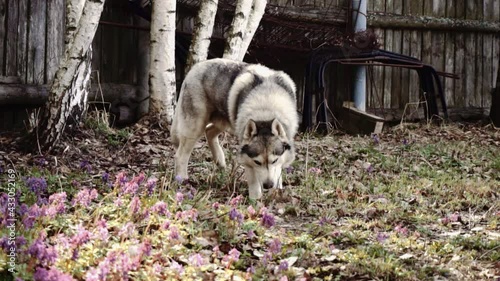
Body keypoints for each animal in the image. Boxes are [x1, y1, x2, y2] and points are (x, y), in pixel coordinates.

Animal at [170, 58, 298, 198]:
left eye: (274, 161)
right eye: (257, 162)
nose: (268, 185)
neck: (265, 108)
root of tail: (196, 66)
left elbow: (278, 173)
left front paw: (276, 193)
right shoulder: (248, 160)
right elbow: (254, 184)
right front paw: (255, 200)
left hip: (224, 122)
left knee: (209, 132)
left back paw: (220, 161)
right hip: (196, 127)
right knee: (180, 155)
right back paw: (182, 179)